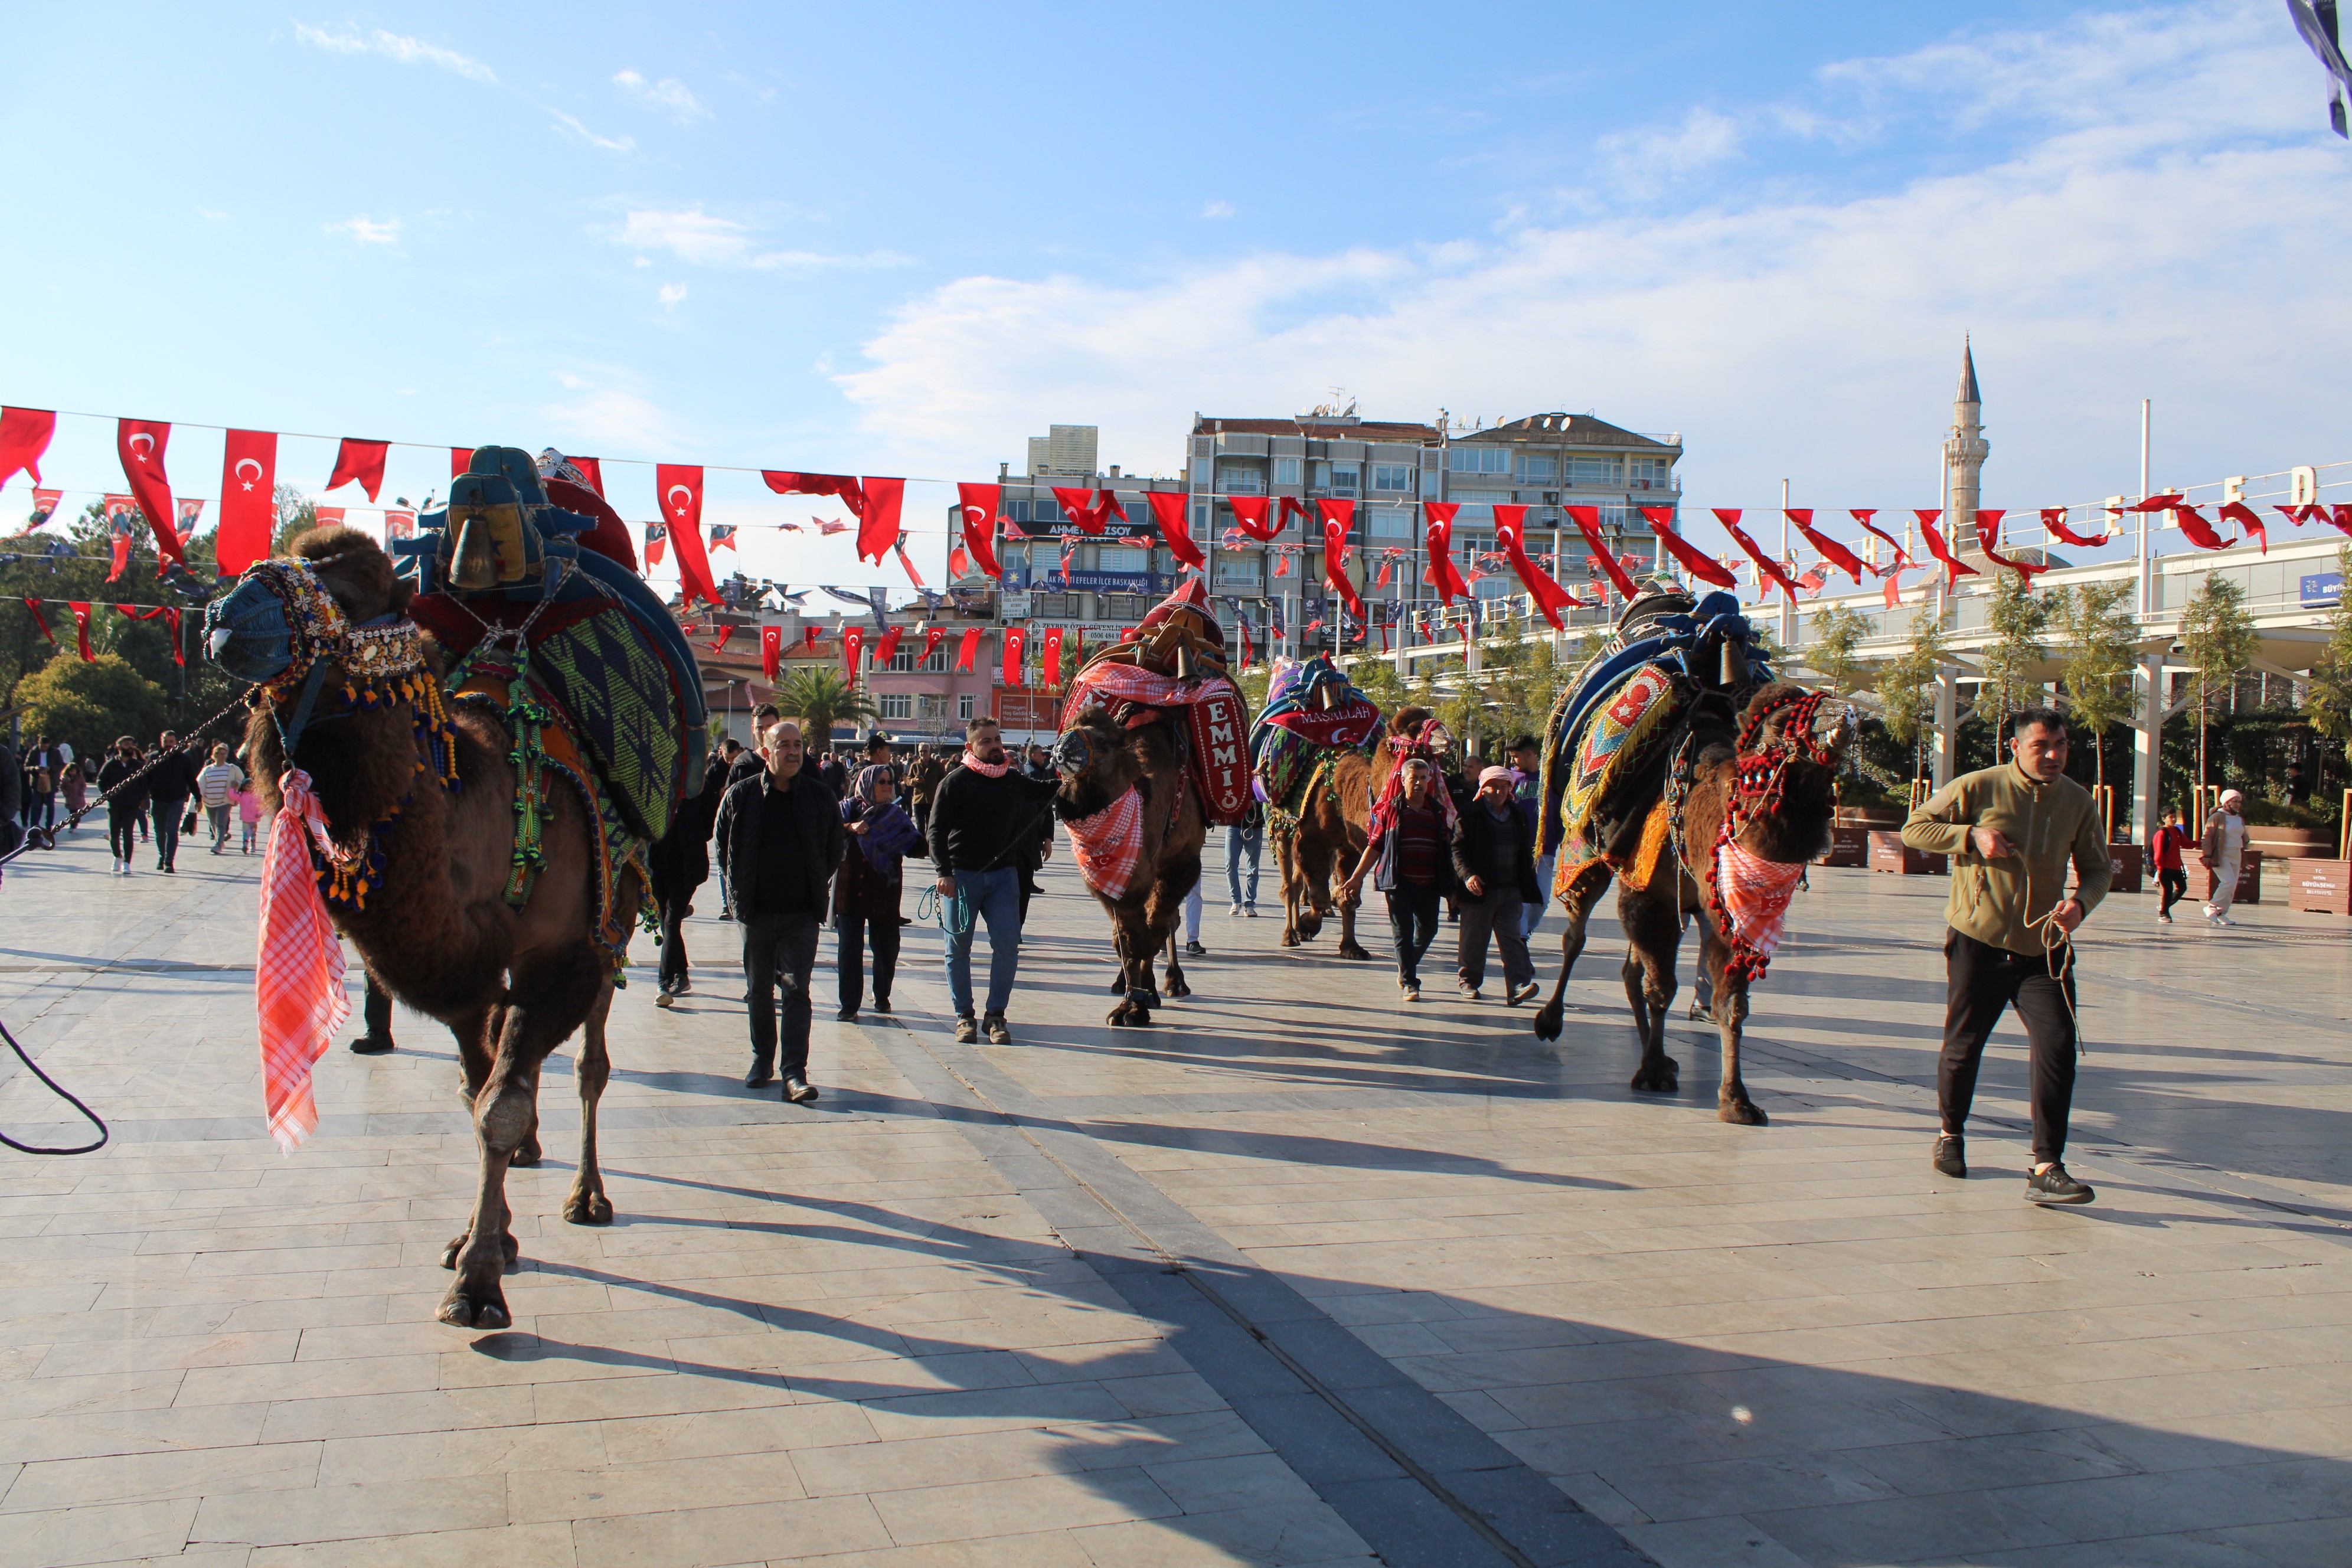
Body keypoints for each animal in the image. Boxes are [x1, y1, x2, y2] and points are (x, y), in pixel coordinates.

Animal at [209, 446, 696, 1335]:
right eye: (295, 553)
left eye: (360, 587)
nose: (231, 614)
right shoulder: (460, 974)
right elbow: (479, 1091)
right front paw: (482, 1238)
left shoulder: (563, 953)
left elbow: (498, 1104)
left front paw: (477, 1283)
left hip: (617, 914)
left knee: (590, 1063)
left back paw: (588, 1193)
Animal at [1048, 700, 1204, 1030]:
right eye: (1070, 726)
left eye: (1104, 742)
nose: (1061, 747)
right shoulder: (1110, 882)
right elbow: (1128, 938)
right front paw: (1132, 1004)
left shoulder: (1181, 862)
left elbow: (1152, 932)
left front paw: (1141, 1002)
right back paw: (1126, 983)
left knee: (1167, 922)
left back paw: (1174, 983)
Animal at [1524, 592, 1853, 1128]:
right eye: (1780, 719)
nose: (1844, 717)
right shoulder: (1647, 894)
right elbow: (1663, 986)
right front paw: (1654, 1070)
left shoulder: (1723, 912)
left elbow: (1729, 1003)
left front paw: (1735, 1098)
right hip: (1591, 856)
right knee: (1578, 935)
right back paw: (1552, 1019)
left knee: (1633, 968)